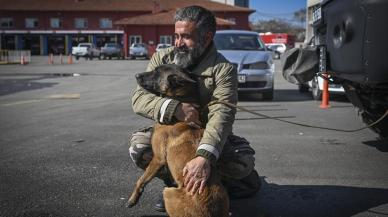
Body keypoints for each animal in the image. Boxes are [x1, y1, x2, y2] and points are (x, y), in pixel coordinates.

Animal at [127, 64, 230, 217]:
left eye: (157, 73)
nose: (136, 75)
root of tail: (210, 213)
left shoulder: (158, 158)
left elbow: (141, 180)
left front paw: (133, 199)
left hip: (168, 193)